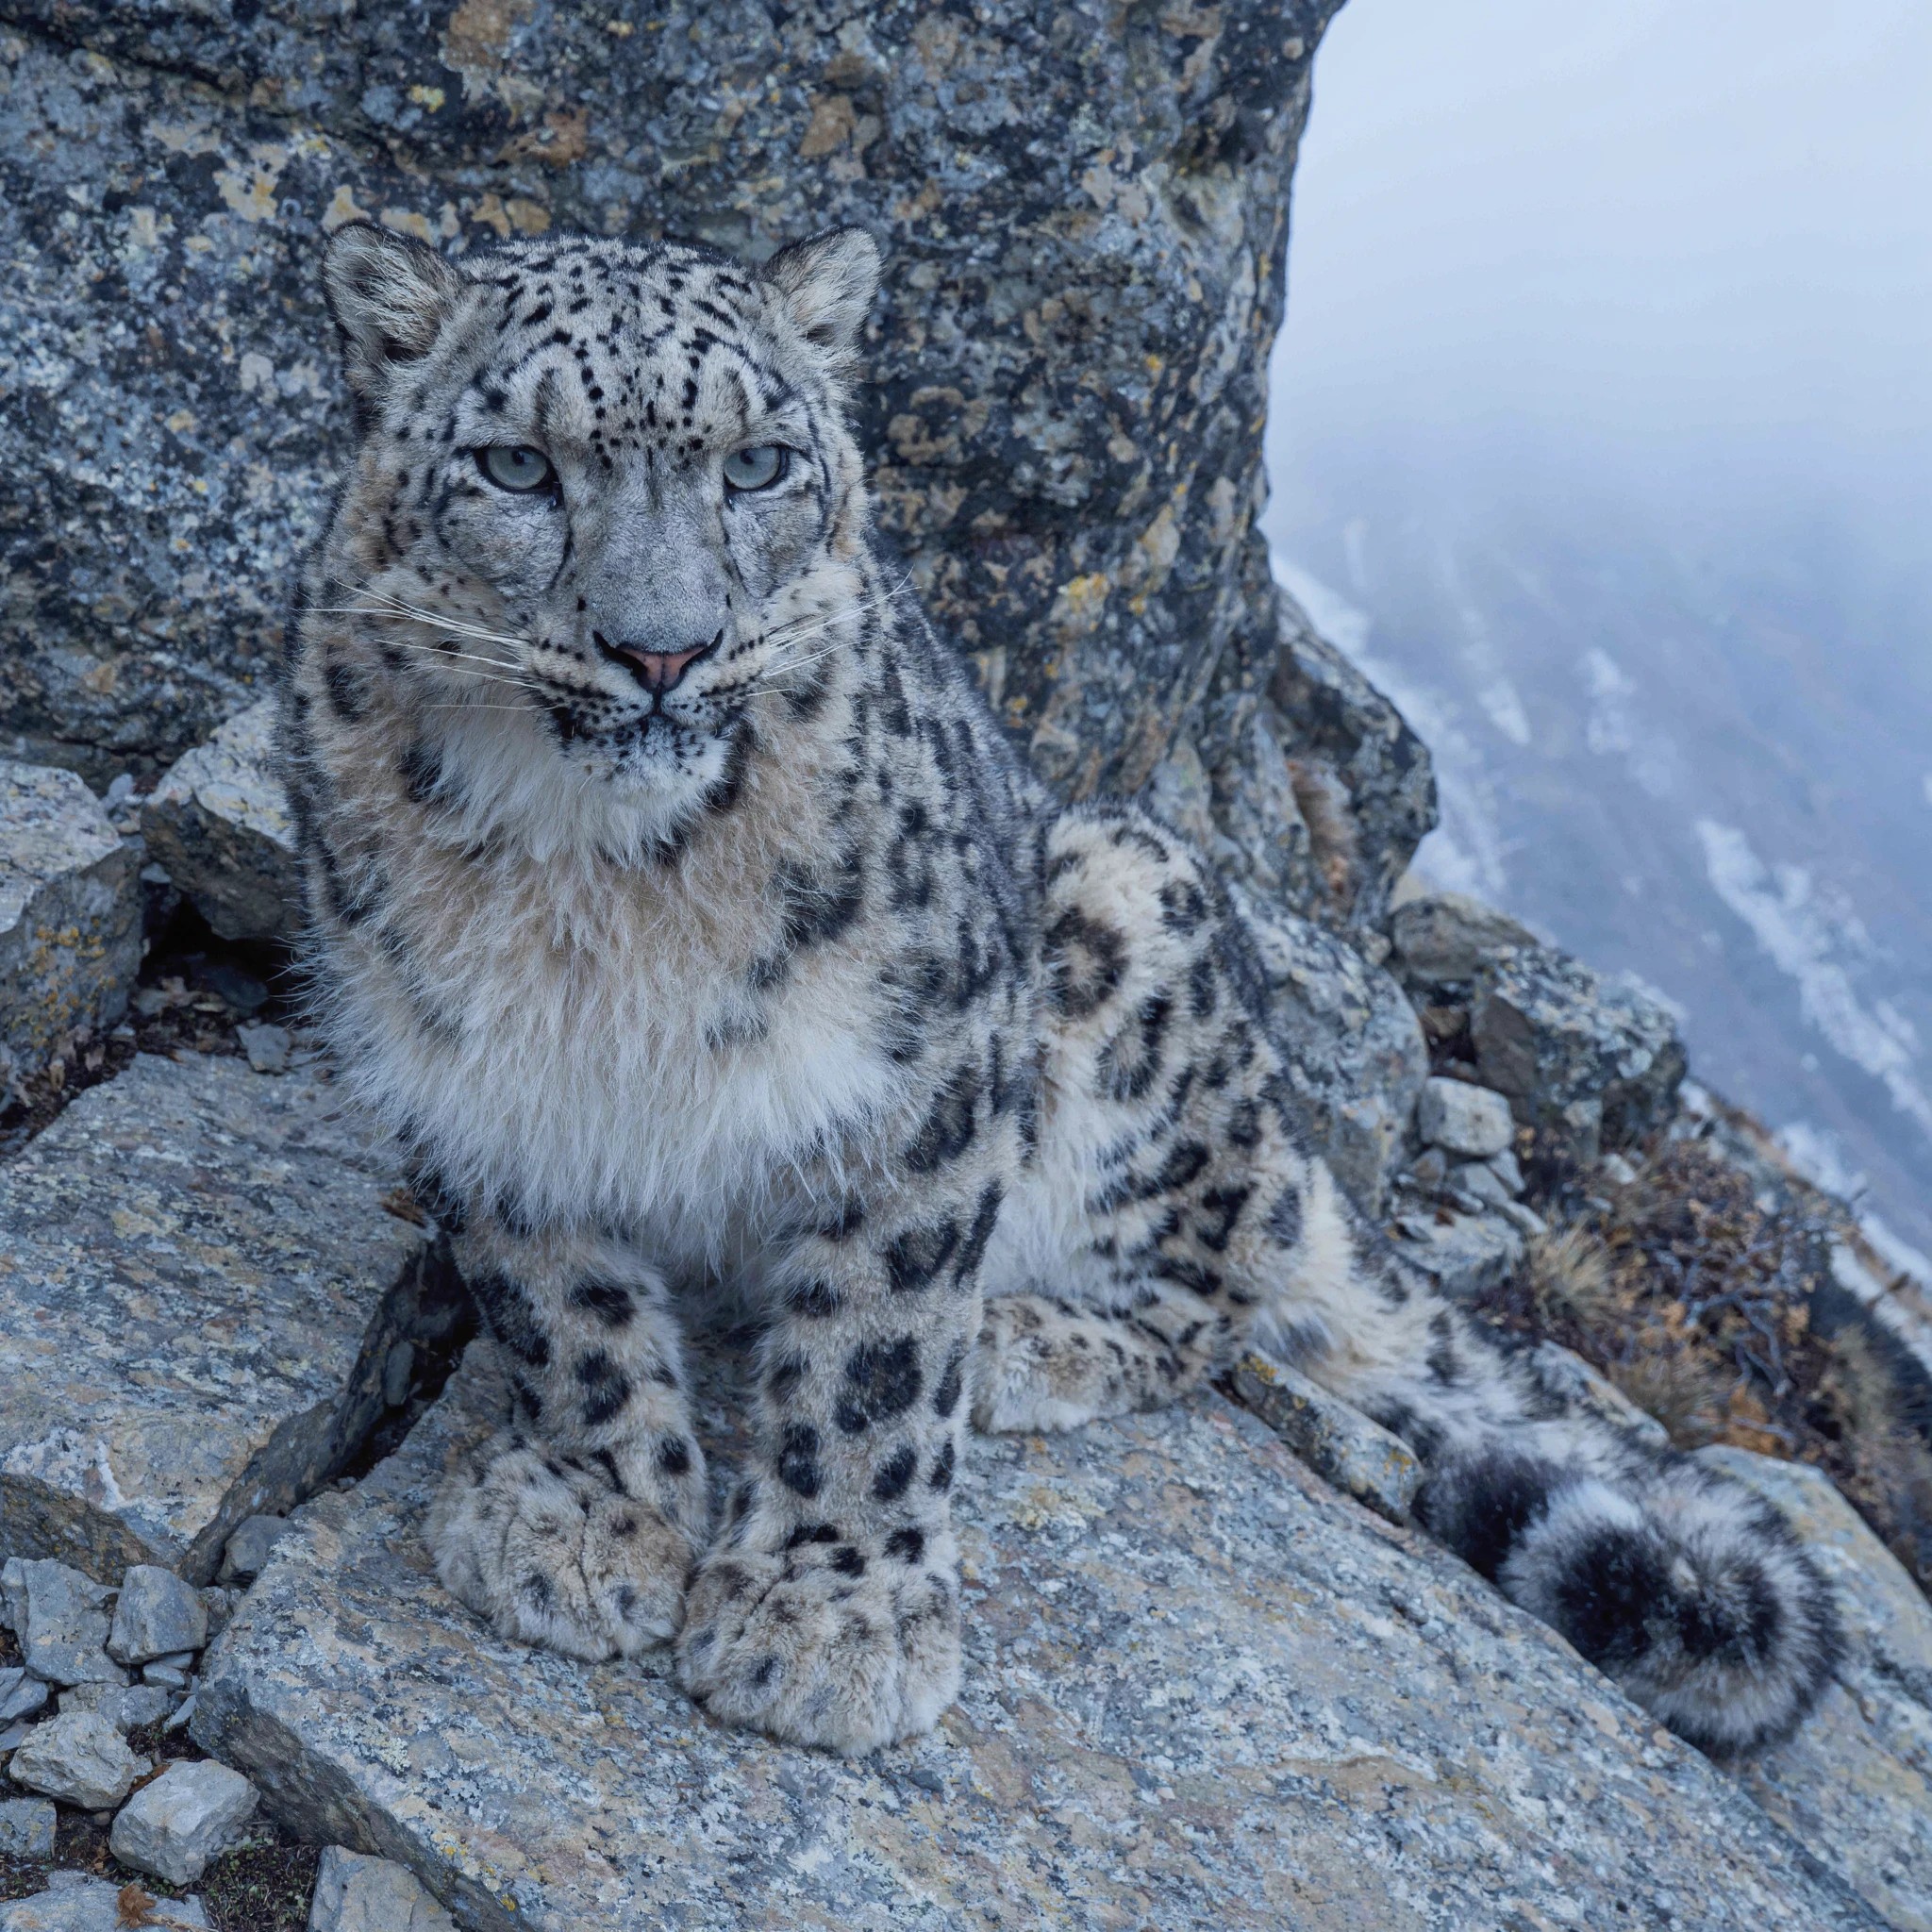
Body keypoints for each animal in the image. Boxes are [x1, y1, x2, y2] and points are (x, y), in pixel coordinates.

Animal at [280, 217, 1840, 1759]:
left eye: (760, 463)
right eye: (516, 467)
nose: (664, 648)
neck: (593, 894)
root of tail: (1289, 1140)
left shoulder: (923, 1066)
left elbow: (878, 1351)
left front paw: (830, 1613)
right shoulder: (471, 1071)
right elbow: (563, 1314)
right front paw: (595, 1517)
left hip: (1132, 917)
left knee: (1213, 1300)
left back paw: (1027, 1342)